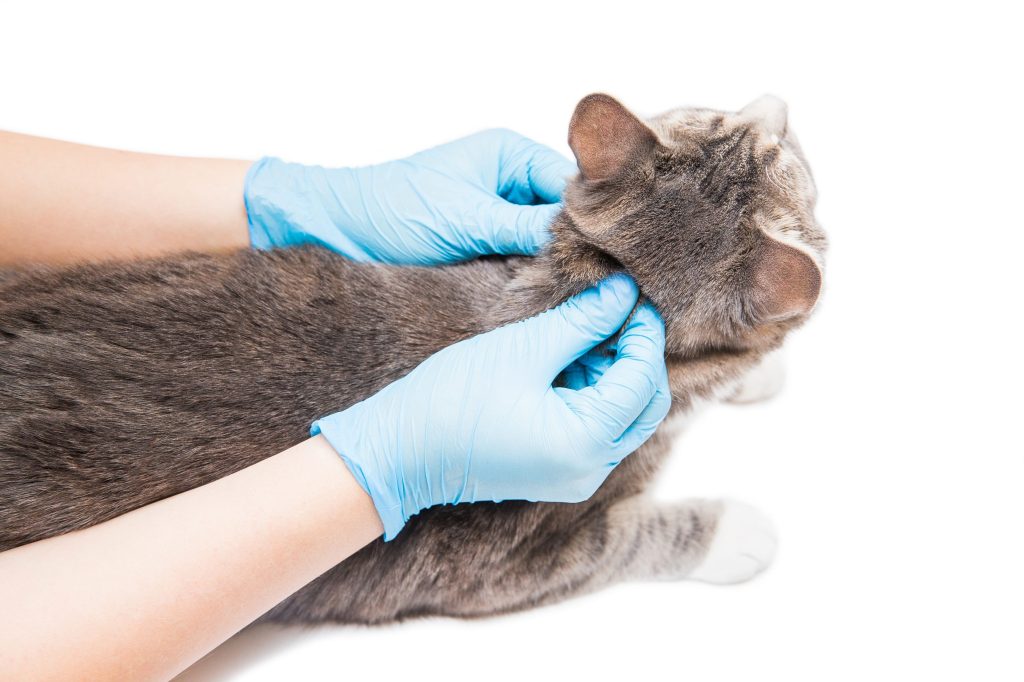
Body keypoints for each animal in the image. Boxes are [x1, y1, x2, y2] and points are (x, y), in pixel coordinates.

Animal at [0, 94, 823, 622]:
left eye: (773, 144)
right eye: (727, 121)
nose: (779, 100)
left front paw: (759, 378)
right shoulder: (504, 561)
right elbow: (628, 540)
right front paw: (735, 531)